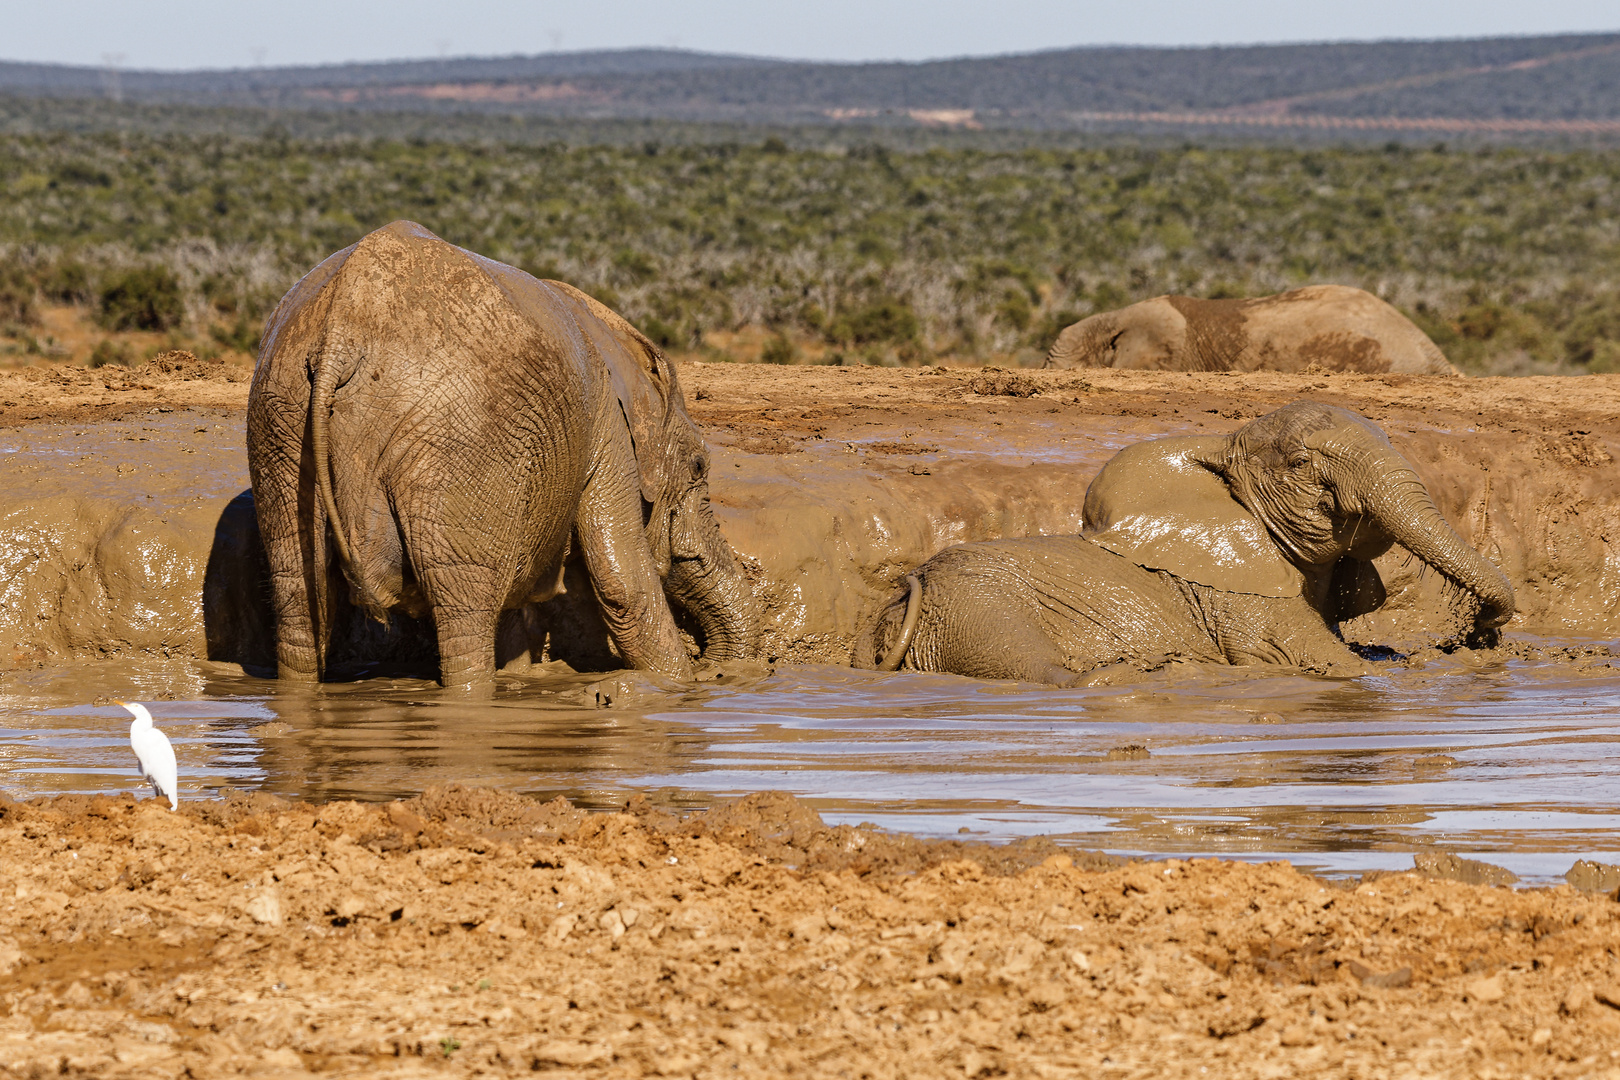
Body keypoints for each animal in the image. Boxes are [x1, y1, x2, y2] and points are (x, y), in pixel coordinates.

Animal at [246, 220, 758, 689]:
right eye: (698, 467)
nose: (716, 672)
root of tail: (341, 333)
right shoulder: (605, 420)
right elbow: (623, 583)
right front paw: (676, 688)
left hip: (280, 423)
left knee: (297, 596)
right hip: (458, 443)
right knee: (464, 613)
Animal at [855, 401, 1509, 689]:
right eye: (1301, 464)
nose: (1480, 631)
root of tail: (913, 587)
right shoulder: (1241, 594)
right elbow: (1314, 658)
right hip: (976, 609)